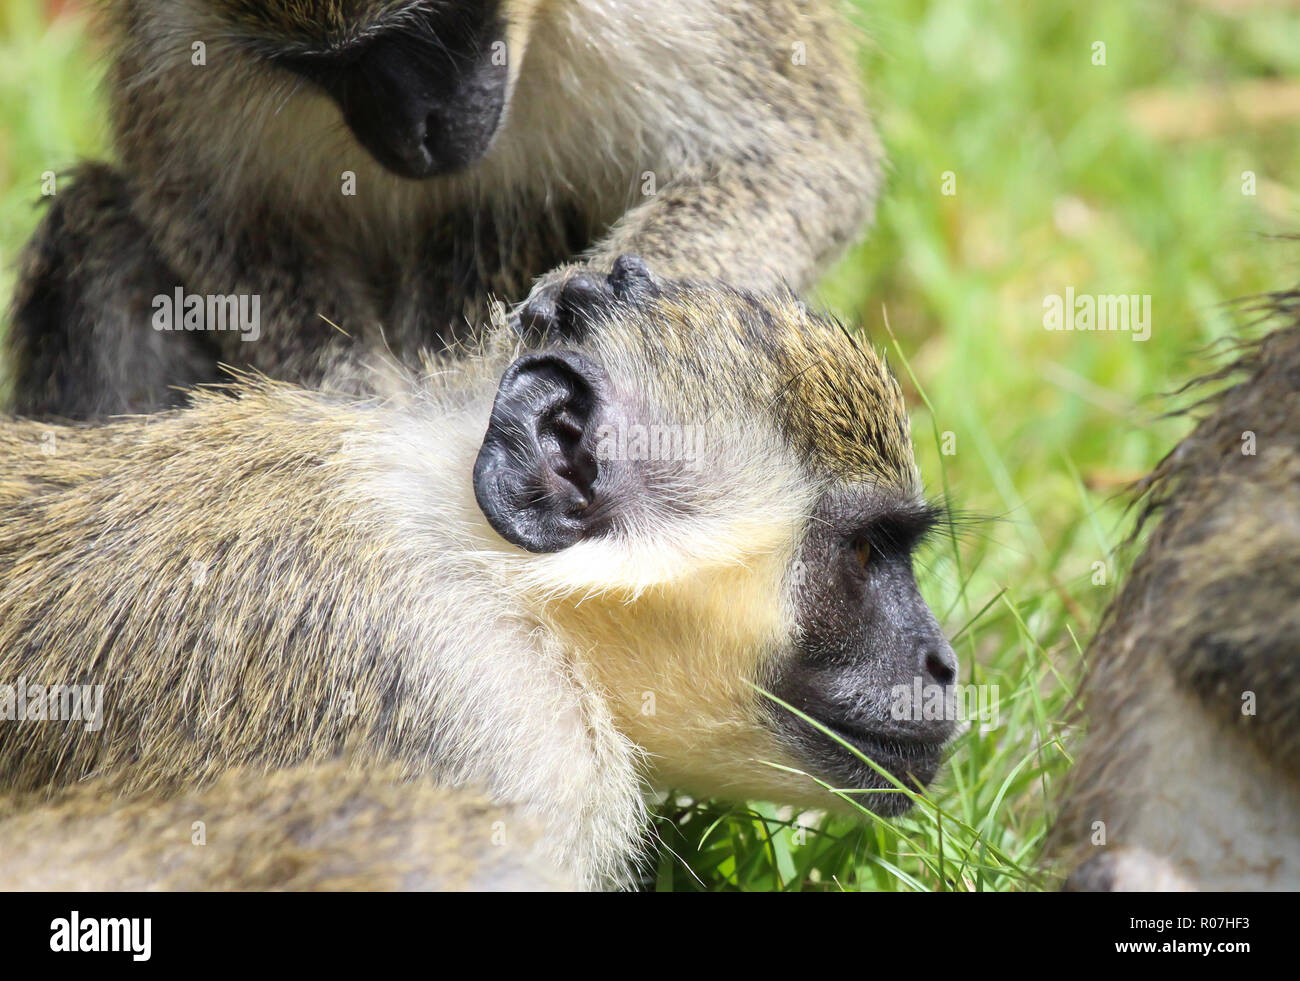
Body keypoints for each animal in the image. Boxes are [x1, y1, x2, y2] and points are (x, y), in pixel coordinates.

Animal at [5, 0, 878, 418]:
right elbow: (209, 211)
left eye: (429, 27)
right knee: (100, 232)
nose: (412, 133)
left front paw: (594, 305)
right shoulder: (175, 35)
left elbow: (807, 162)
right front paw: (355, 405)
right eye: (330, 66)